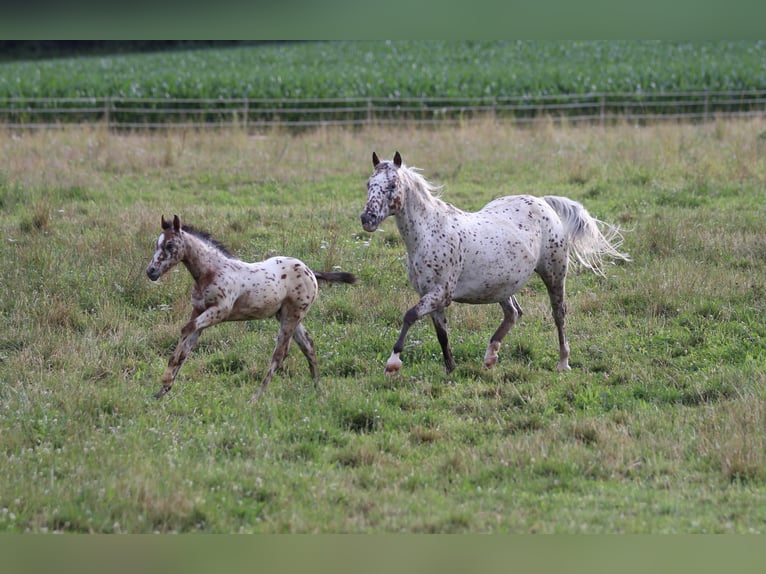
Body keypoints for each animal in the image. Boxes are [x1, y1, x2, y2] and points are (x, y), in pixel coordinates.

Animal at [360, 153, 632, 378]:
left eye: (392, 185)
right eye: (369, 185)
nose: (367, 218)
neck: (429, 233)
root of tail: (542, 202)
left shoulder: (441, 294)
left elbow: (409, 316)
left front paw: (392, 363)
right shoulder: (430, 296)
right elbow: (442, 335)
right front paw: (451, 370)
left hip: (554, 274)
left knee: (559, 313)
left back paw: (563, 362)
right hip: (502, 285)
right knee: (513, 313)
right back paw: (490, 357)